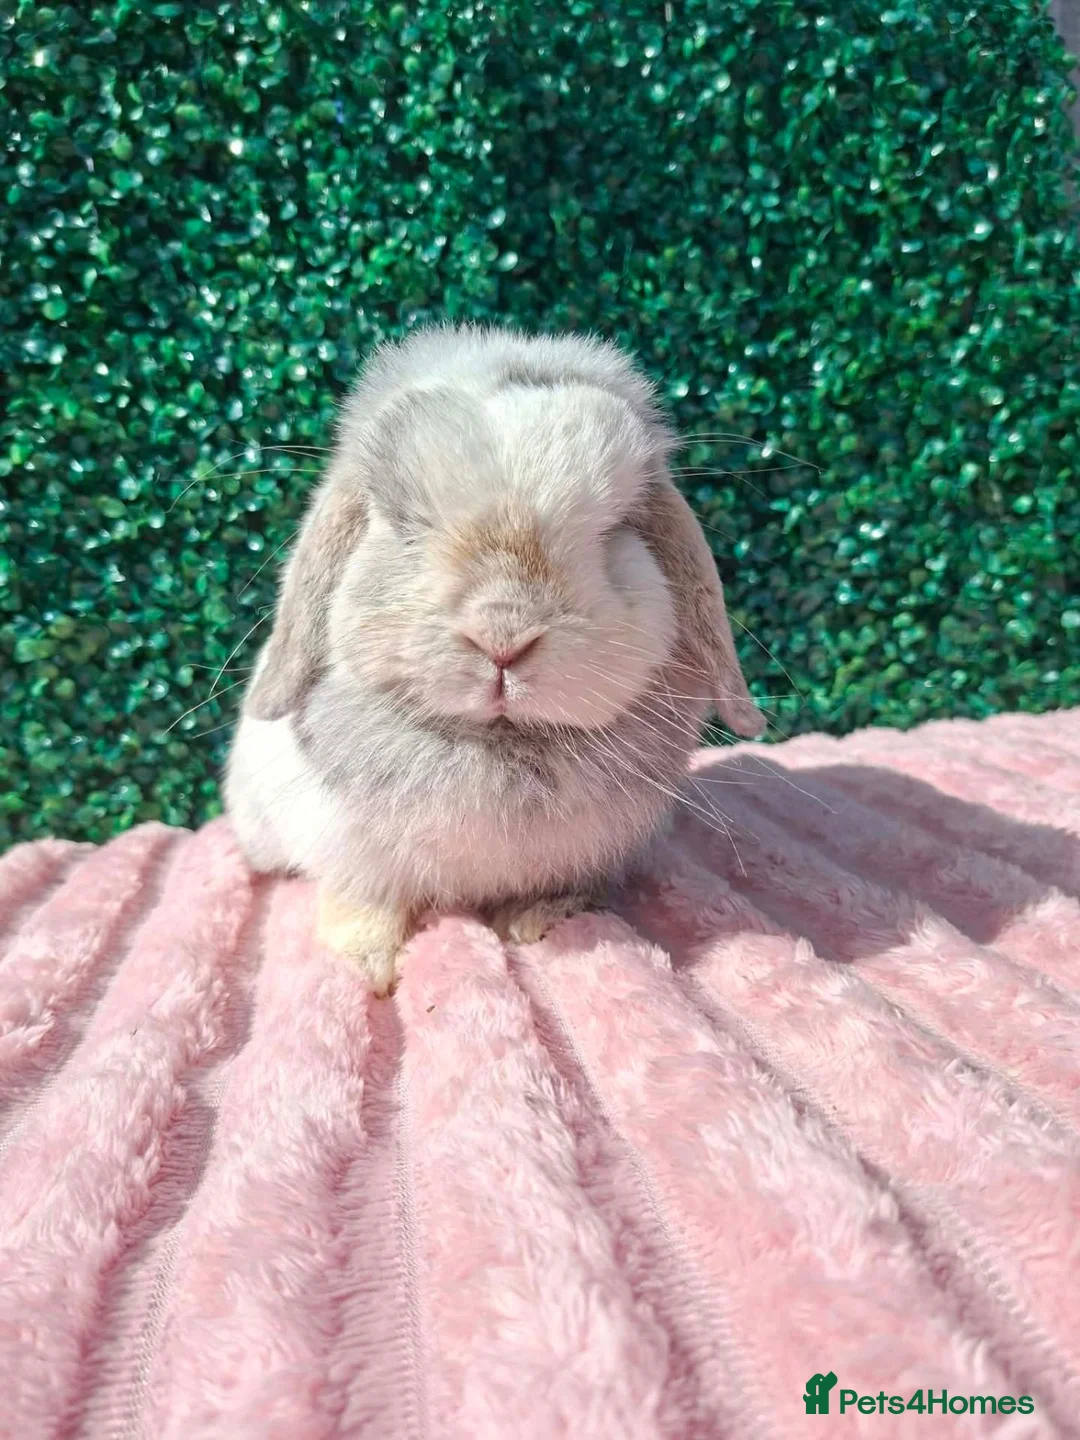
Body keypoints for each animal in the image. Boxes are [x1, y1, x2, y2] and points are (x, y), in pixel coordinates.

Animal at [224, 322, 764, 995]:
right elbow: (364, 904)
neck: (497, 744)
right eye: (402, 522)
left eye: (615, 527)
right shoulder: (351, 855)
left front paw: (538, 923)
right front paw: (366, 967)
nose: (501, 634)